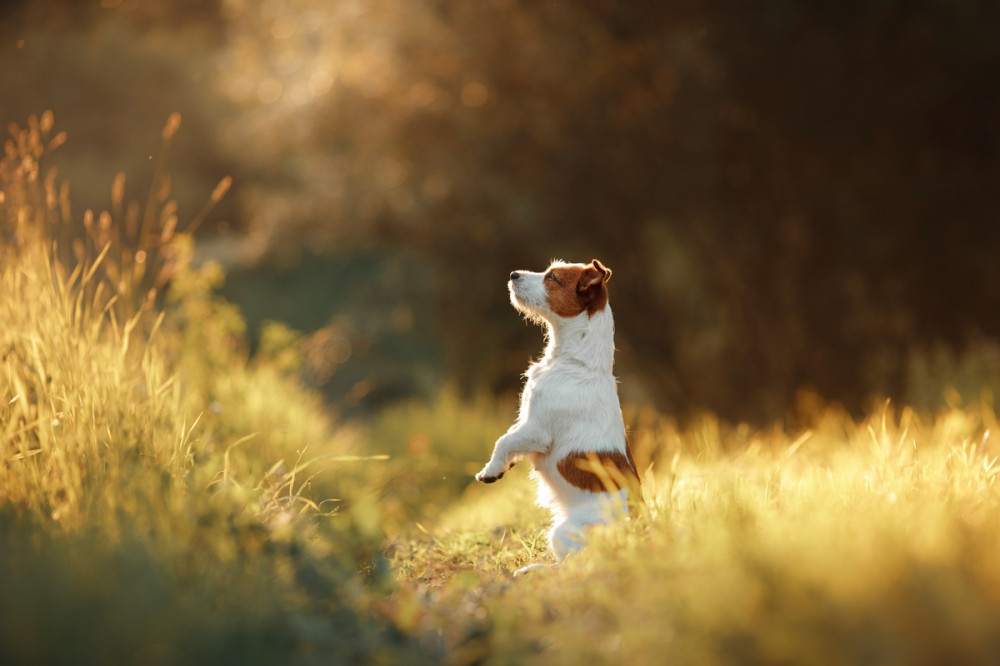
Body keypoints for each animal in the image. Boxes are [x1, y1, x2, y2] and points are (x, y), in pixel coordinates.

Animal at [476, 256, 640, 568]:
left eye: (552, 277)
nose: (513, 274)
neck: (577, 362)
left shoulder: (537, 429)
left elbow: (503, 441)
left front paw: (490, 470)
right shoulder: (525, 420)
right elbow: (510, 436)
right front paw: (504, 465)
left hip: (562, 533)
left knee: (569, 566)